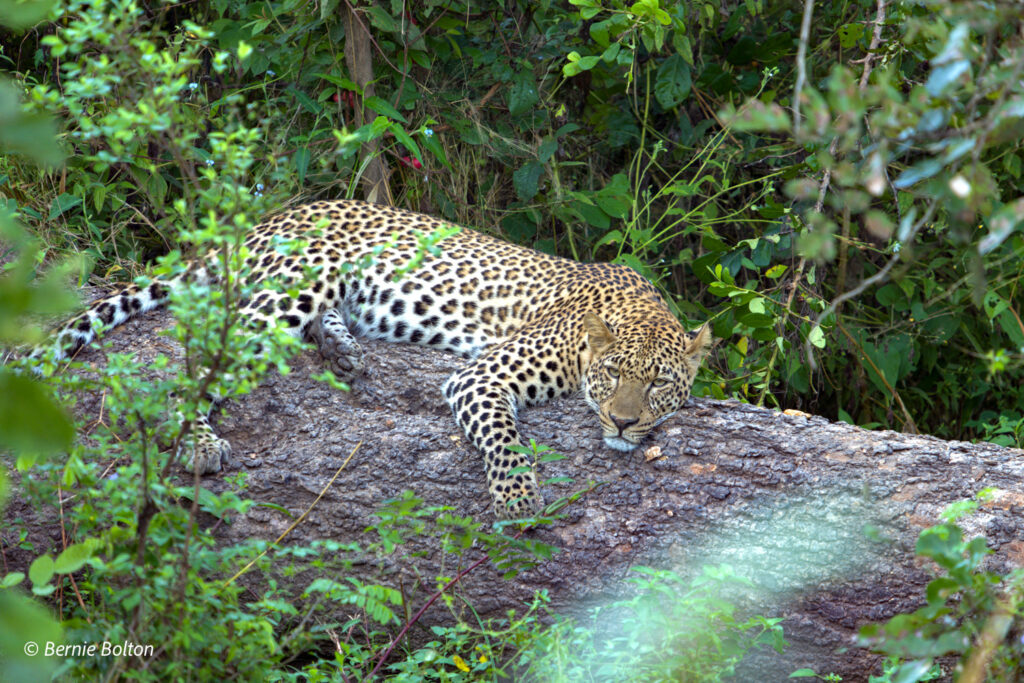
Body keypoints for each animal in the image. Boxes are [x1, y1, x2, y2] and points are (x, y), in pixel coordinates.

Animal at [40, 199, 712, 518]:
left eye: (658, 384)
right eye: (613, 374)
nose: (623, 422)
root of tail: (273, 216)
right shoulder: (481, 375)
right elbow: (505, 440)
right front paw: (518, 501)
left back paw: (342, 350)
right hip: (293, 286)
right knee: (199, 358)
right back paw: (201, 442)